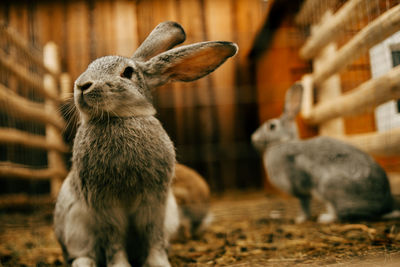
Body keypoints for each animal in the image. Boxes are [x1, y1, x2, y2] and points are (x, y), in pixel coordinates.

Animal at [54, 21, 238, 267]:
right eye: (89, 65)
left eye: (127, 72)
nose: (82, 85)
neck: (119, 118)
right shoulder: (103, 204)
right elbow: (113, 240)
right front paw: (120, 266)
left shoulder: (154, 201)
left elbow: (153, 235)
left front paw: (159, 262)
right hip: (75, 225)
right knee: (82, 254)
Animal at [252, 83, 396, 224]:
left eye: (271, 126)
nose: (253, 137)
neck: (282, 143)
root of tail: (385, 204)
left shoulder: (300, 188)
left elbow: (304, 204)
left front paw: (300, 219)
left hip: (329, 187)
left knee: (344, 213)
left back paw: (325, 218)